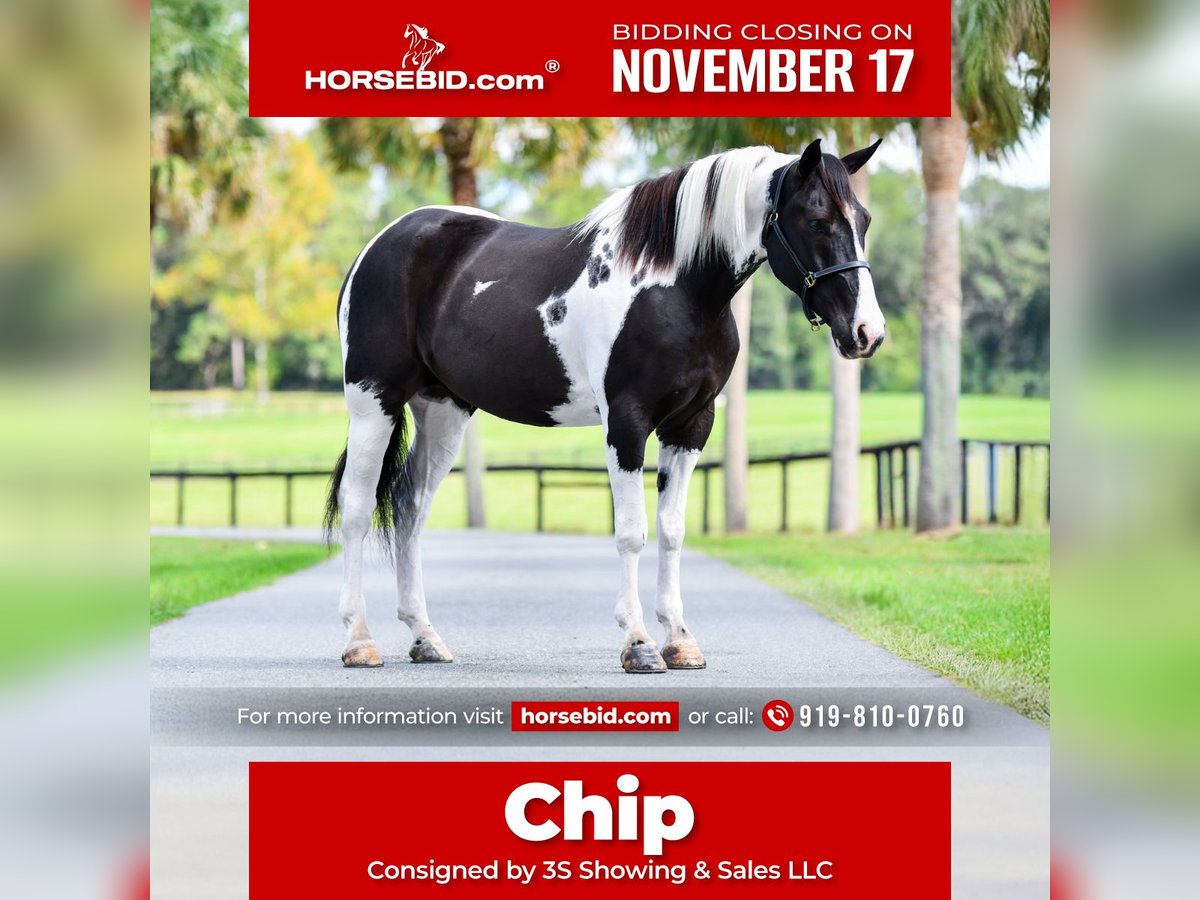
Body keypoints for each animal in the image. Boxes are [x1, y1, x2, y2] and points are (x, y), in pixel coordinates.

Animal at [324, 138, 885, 673]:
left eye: (864, 219)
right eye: (816, 221)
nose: (868, 332)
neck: (675, 289)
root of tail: (379, 244)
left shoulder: (692, 425)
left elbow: (672, 530)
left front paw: (680, 642)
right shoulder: (627, 422)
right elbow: (632, 532)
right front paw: (639, 645)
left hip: (443, 411)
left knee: (409, 508)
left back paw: (426, 639)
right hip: (373, 403)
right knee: (358, 508)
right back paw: (359, 642)